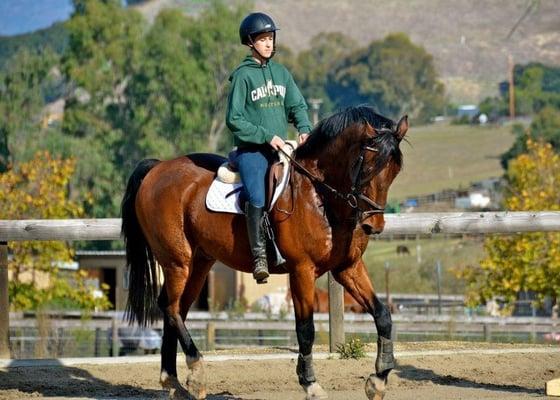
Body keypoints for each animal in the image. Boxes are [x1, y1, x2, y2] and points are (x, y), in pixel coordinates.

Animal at [121, 104, 406, 398]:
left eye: (396, 169)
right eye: (368, 167)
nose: (373, 225)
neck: (320, 196)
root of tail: (157, 168)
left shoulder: (348, 268)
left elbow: (383, 315)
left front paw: (379, 379)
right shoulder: (302, 271)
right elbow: (306, 329)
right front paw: (311, 383)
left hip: (199, 263)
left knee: (176, 309)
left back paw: (174, 381)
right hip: (178, 262)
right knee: (170, 307)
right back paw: (196, 370)